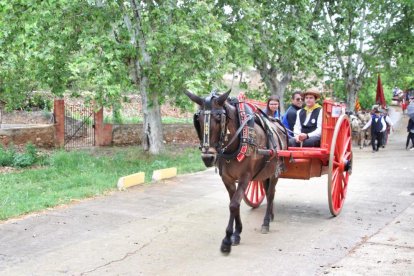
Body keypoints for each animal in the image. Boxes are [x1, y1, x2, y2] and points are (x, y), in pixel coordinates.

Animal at [185, 89, 288, 253]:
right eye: (198, 119)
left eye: (219, 118)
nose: (208, 157)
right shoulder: (227, 178)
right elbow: (234, 203)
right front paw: (237, 233)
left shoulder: (245, 177)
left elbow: (233, 205)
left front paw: (227, 239)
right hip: (264, 173)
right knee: (267, 192)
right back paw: (271, 215)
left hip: (274, 172)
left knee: (271, 193)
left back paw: (266, 222)